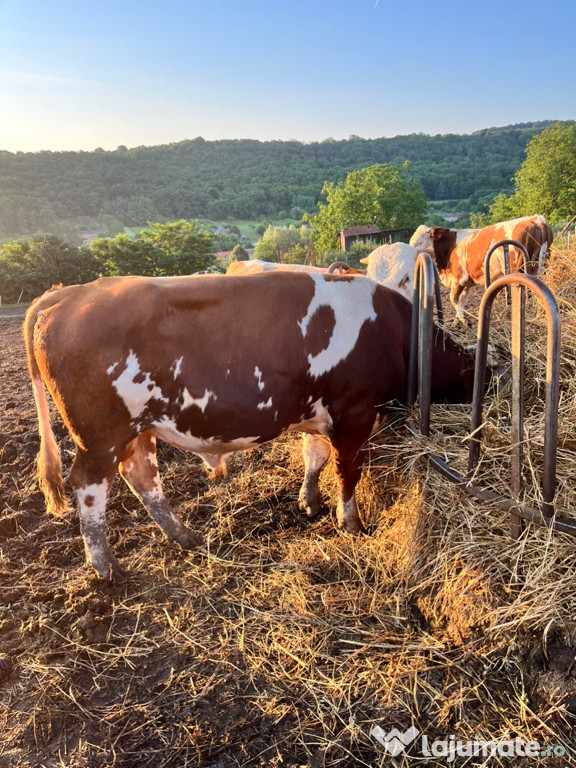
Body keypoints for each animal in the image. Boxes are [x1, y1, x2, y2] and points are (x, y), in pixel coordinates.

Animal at [24, 272, 476, 580]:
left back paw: (184, 537)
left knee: (142, 477)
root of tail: (72, 292)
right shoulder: (355, 413)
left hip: (139, 430)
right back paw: (106, 567)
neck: (394, 332)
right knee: (89, 488)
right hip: (101, 435)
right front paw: (352, 524)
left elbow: (314, 457)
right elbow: (347, 472)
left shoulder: (318, 413)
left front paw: (309, 501)